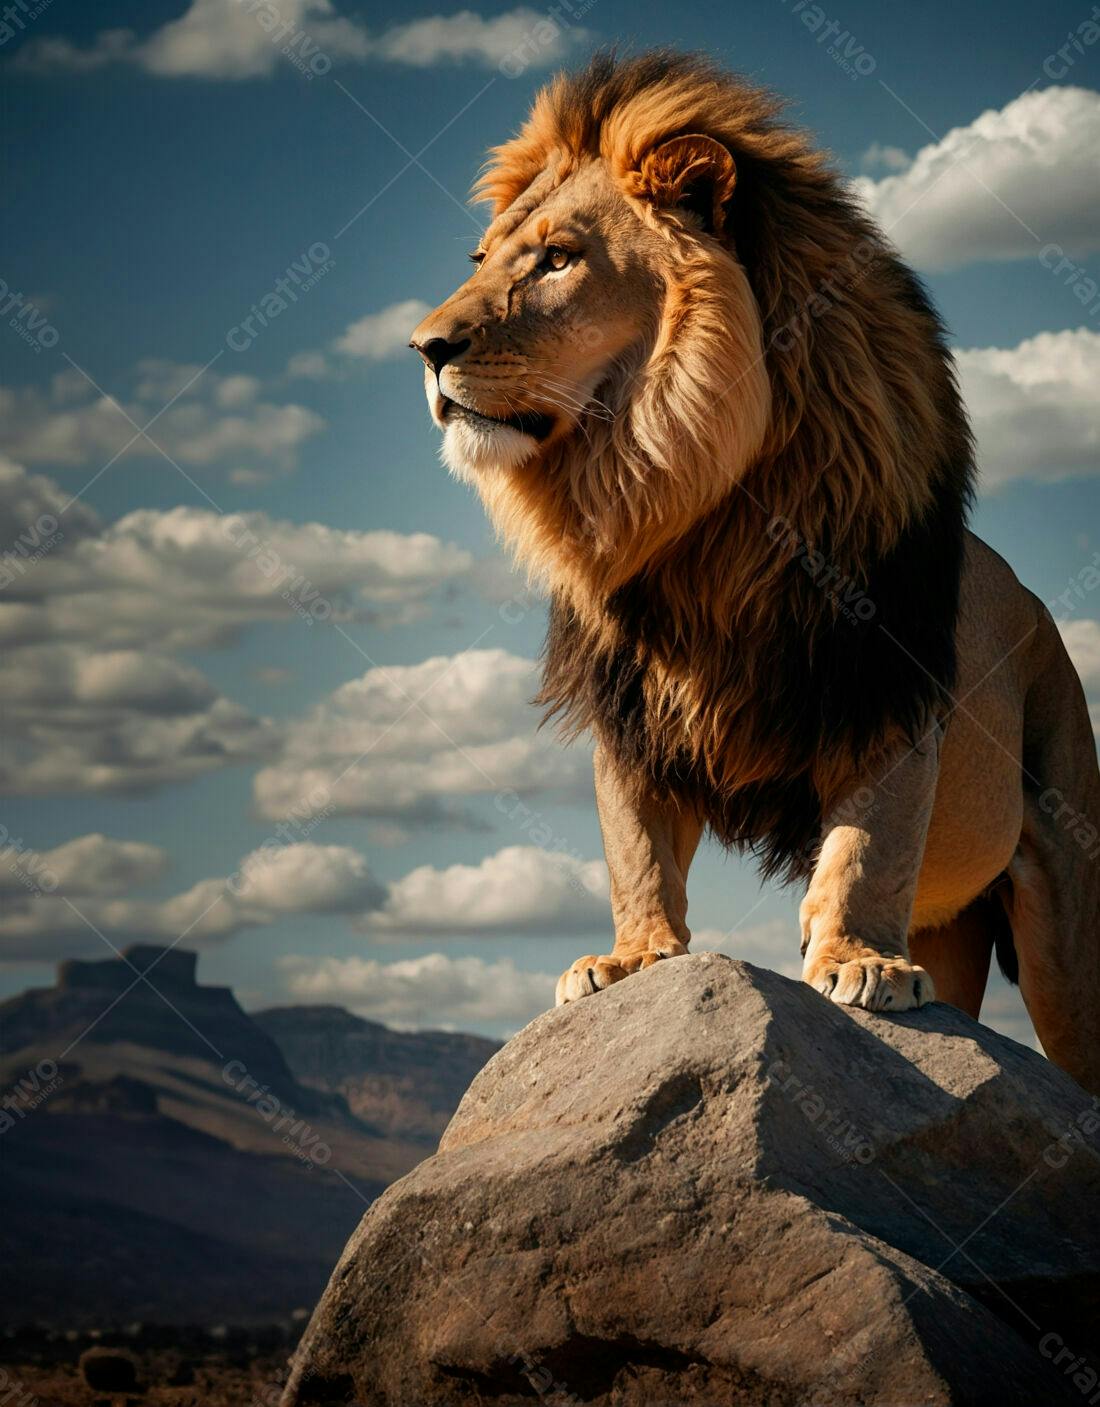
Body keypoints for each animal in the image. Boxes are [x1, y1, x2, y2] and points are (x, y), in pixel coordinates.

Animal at [410, 51, 1100, 1093]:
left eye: (560, 258)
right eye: (481, 259)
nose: (425, 348)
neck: (683, 487)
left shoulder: (881, 682)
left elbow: (868, 843)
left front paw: (856, 960)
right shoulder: (633, 708)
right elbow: (638, 846)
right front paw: (632, 958)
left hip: (1068, 915)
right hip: (959, 928)